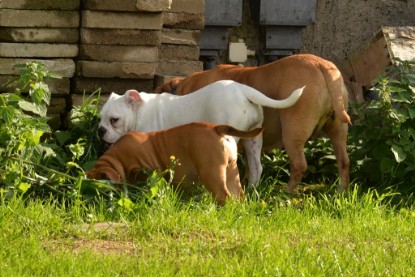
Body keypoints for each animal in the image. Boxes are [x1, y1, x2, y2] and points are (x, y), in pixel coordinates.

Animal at [87, 122, 264, 204]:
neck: (116, 159)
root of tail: (216, 127)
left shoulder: (146, 167)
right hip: (231, 172)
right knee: (238, 195)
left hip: (211, 173)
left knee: (224, 196)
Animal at [98, 80, 304, 188]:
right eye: (100, 119)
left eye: (114, 120)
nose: (101, 130)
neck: (139, 110)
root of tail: (242, 89)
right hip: (253, 139)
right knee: (256, 167)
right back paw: (253, 189)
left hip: (230, 136)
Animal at [154, 53, 352, 192]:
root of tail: (322, 65)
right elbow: (251, 166)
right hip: (338, 130)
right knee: (344, 161)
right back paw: (341, 190)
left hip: (292, 131)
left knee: (299, 165)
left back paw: (286, 192)